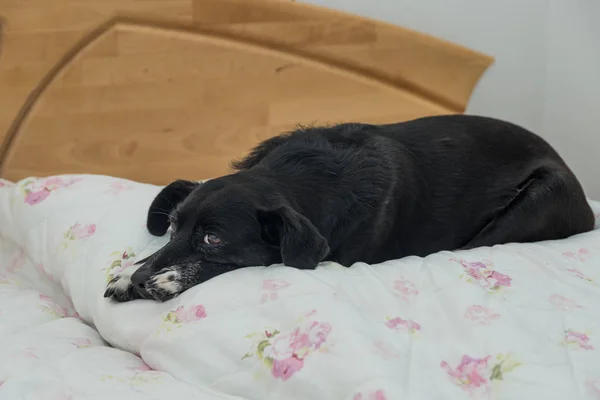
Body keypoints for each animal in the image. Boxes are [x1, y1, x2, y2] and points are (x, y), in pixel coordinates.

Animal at [104, 114, 596, 302]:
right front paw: (130, 272)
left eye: (214, 238)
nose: (143, 281)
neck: (300, 176)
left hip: (538, 198)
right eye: (171, 228)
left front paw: (149, 278)